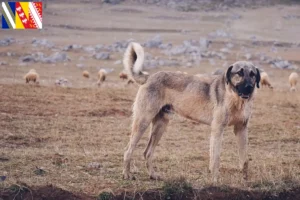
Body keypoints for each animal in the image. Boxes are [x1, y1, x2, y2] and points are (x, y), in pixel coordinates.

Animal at [122, 41, 260, 181]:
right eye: (239, 73)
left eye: (252, 74)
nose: (249, 87)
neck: (235, 98)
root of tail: (150, 76)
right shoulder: (217, 129)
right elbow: (216, 159)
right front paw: (215, 180)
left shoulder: (241, 129)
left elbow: (244, 160)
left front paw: (245, 180)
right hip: (143, 121)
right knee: (128, 150)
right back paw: (127, 174)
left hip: (160, 125)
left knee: (147, 152)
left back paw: (153, 175)